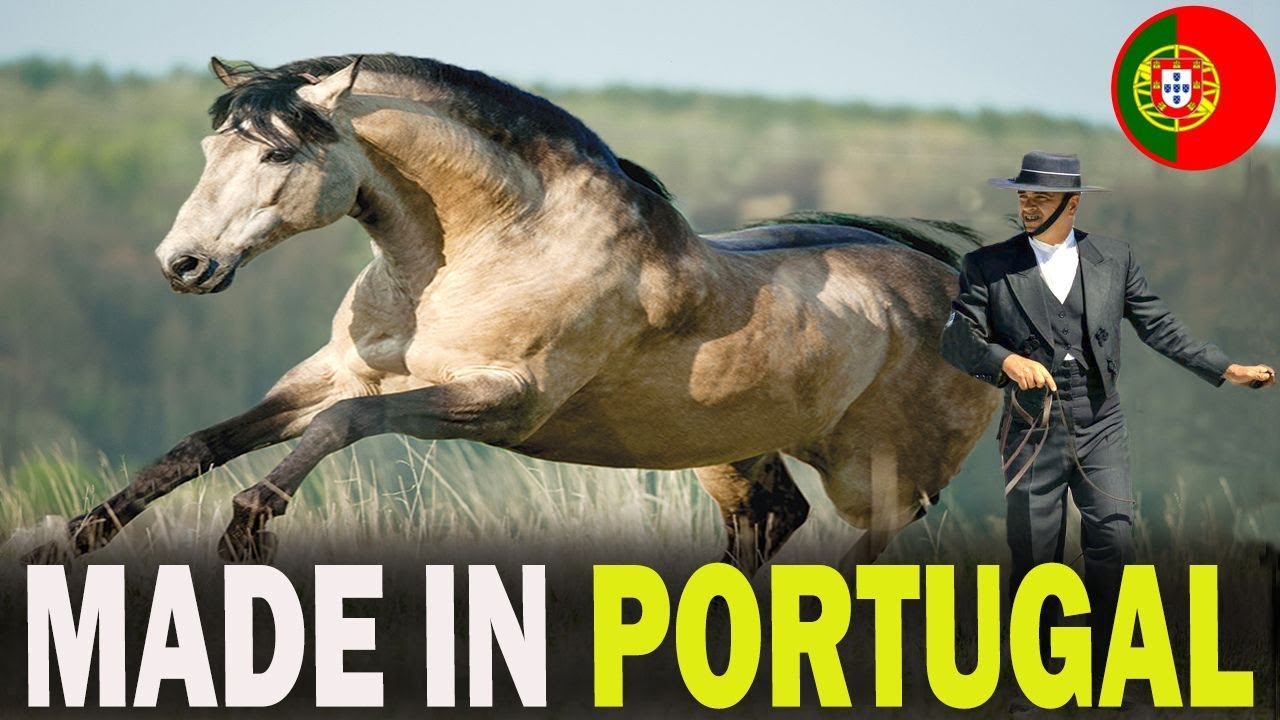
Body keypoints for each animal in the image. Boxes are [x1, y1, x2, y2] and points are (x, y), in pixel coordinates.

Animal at [26, 54, 998, 572]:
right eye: (209, 147)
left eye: (276, 156)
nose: (183, 265)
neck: (488, 245)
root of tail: (961, 291)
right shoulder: (334, 372)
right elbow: (206, 440)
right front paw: (77, 535)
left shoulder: (501, 400)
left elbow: (344, 426)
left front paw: (250, 521)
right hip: (729, 456)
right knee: (767, 523)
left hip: (880, 483)